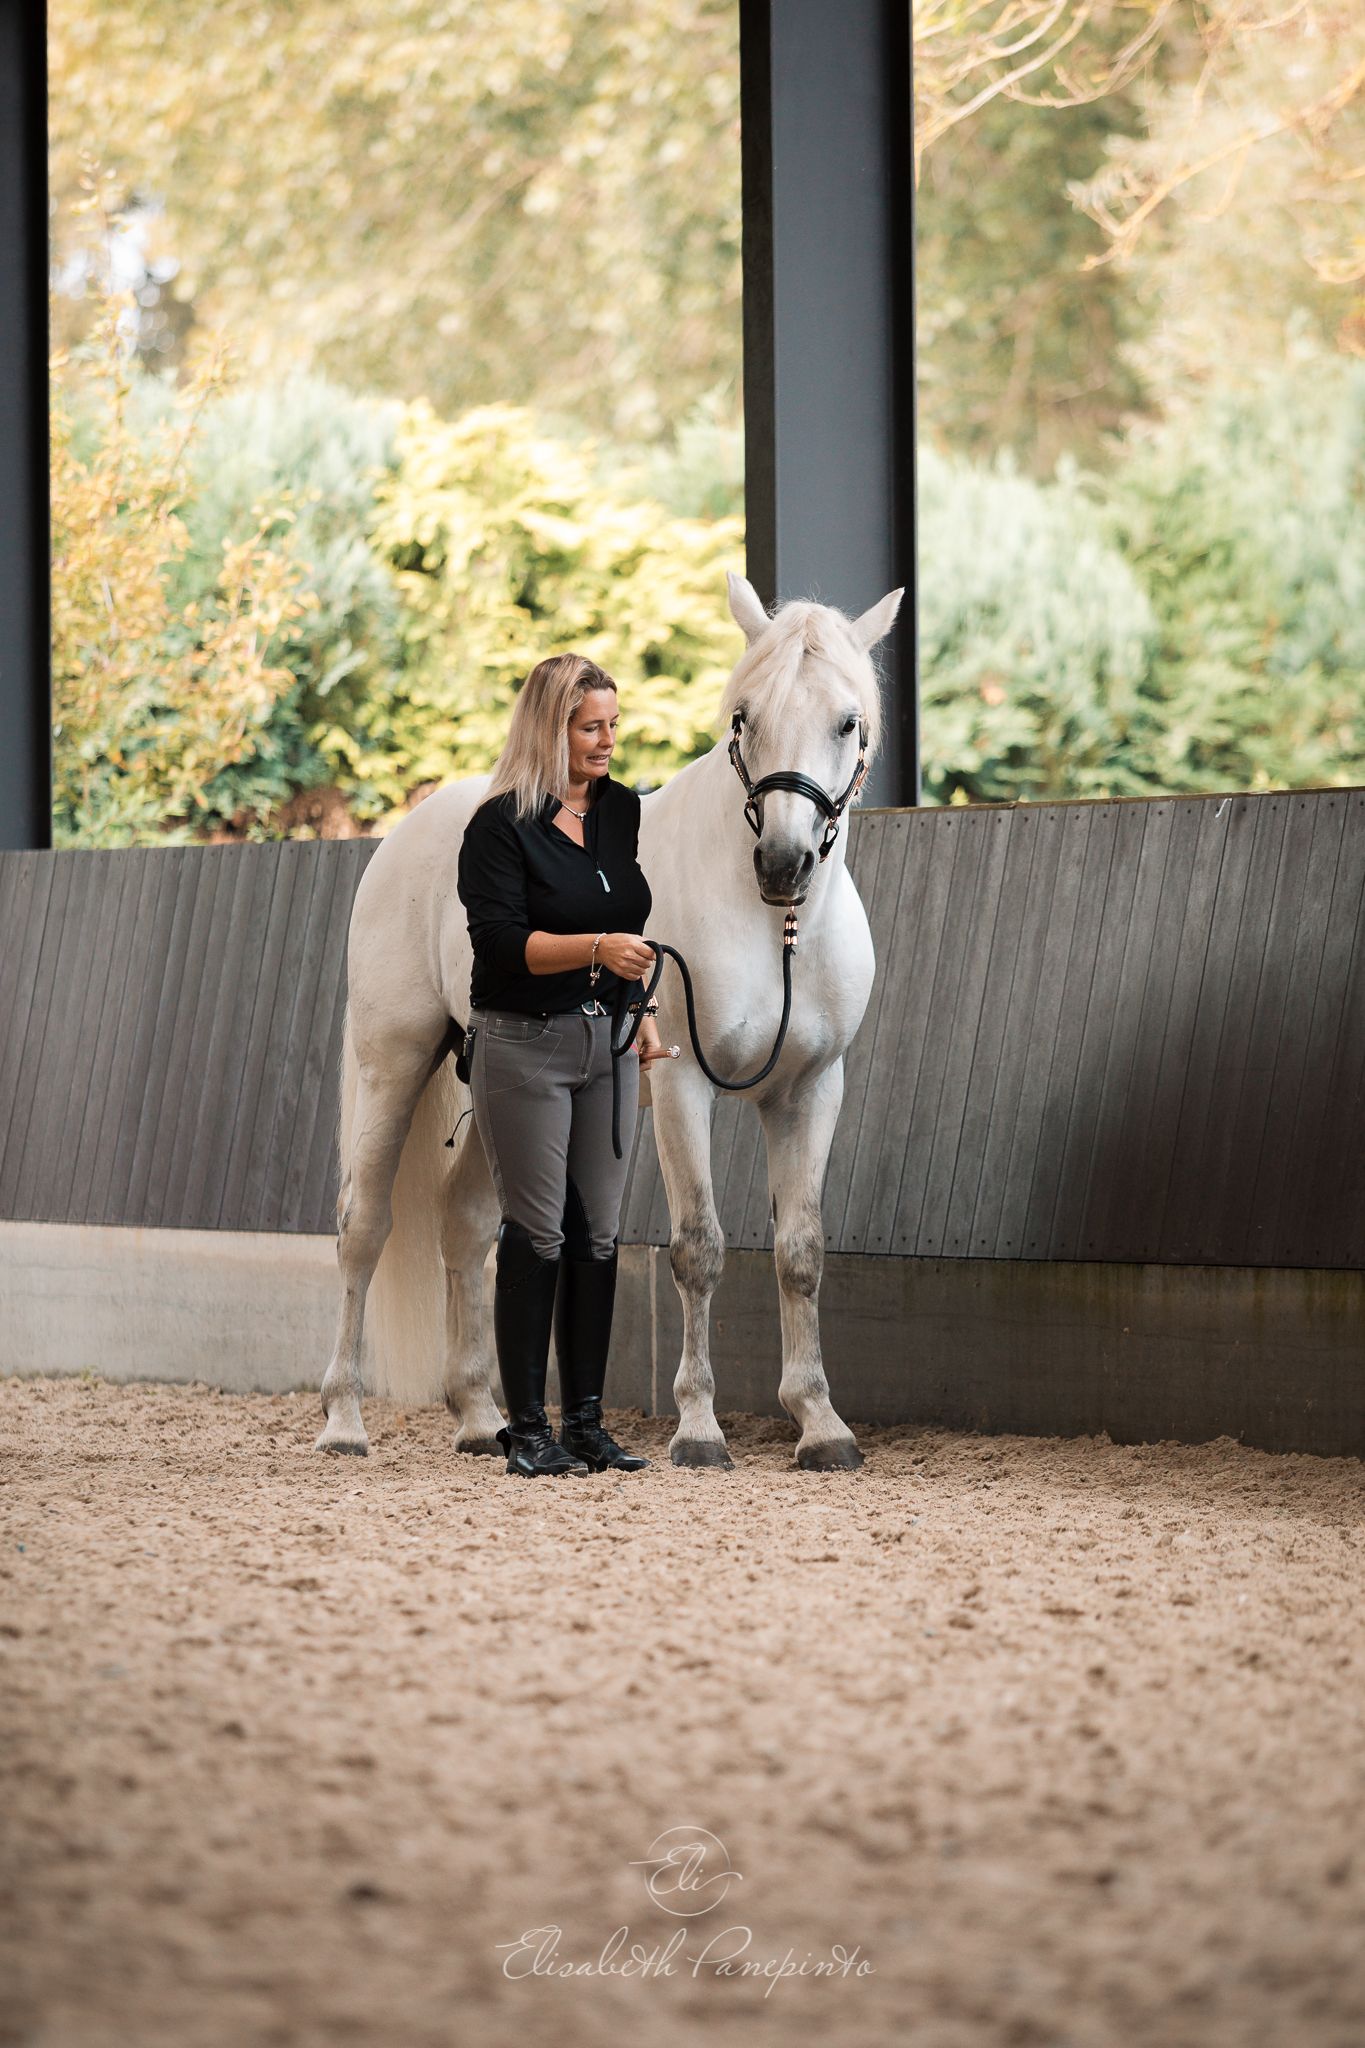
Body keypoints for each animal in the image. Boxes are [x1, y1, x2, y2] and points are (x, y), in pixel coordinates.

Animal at [315, 570, 902, 1469]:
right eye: (744, 717)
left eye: (846, 721)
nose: (782, 863)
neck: (769, 927)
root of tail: (412, 829)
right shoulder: (685, 1086)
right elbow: (698, 1248)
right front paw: (698, 1430)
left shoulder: (809, 1091)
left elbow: (801, 1253)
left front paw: (820, 1425)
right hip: (395, 1060)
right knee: (363, 1225)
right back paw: (344, 1421)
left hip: (498, 1088)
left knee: (466, 1222)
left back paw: (479, 1417)